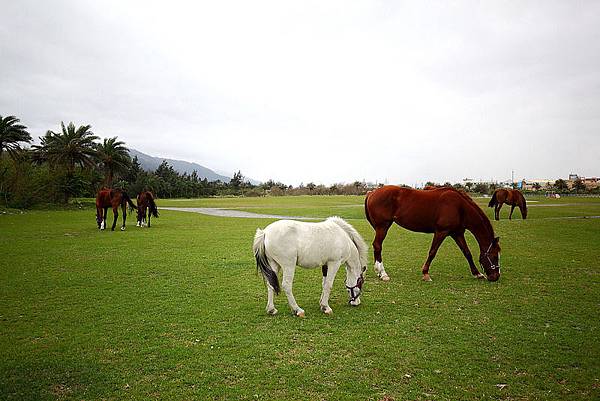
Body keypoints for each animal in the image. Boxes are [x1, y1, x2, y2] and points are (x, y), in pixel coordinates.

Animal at [366, 185, 502, 282]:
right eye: (495, 256)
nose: (496, 276)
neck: (460, 207)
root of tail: (371, 193)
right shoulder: (441, 232)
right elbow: (432, 252)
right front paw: (426, 274)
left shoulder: (457, 233)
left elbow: (467, 253)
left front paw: (477, 273)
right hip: (383, 226)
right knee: (377, 246)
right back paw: (383, 273)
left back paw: (379, 272)